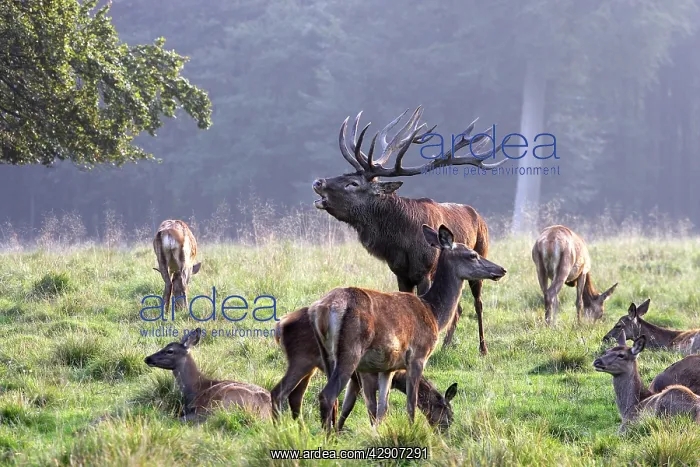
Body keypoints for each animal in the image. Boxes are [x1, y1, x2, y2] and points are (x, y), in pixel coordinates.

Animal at [270, 306, 458, 431]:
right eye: (449, 413)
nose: (445, 432)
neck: (399, 377)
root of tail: (279, 327)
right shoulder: (365, 376)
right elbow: (368, 408)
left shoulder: (355, 379)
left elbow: (347, 407)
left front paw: (337, 432)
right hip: (302, 359)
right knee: (281, 393)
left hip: (310, 367)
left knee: (295, 396)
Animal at [310, 224, 506, 432]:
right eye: (472, 255)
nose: (501, 269)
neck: (433, 313)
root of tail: (321, 309)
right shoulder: (417, 356)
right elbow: (410, 404)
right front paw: (411, 430)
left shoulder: (387, 367)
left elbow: (382, 408)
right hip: (351, 350)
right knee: (328, 395)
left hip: (327, 355)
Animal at [312, 106, 509, 354]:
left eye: (353, 183)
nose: (318, 182)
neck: (401, 242)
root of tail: (478, 215)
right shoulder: (400, 273)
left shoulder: (426, 271)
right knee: (458, 308)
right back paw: (446, 345)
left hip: (482, 253)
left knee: (478, 304)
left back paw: (482, 349)